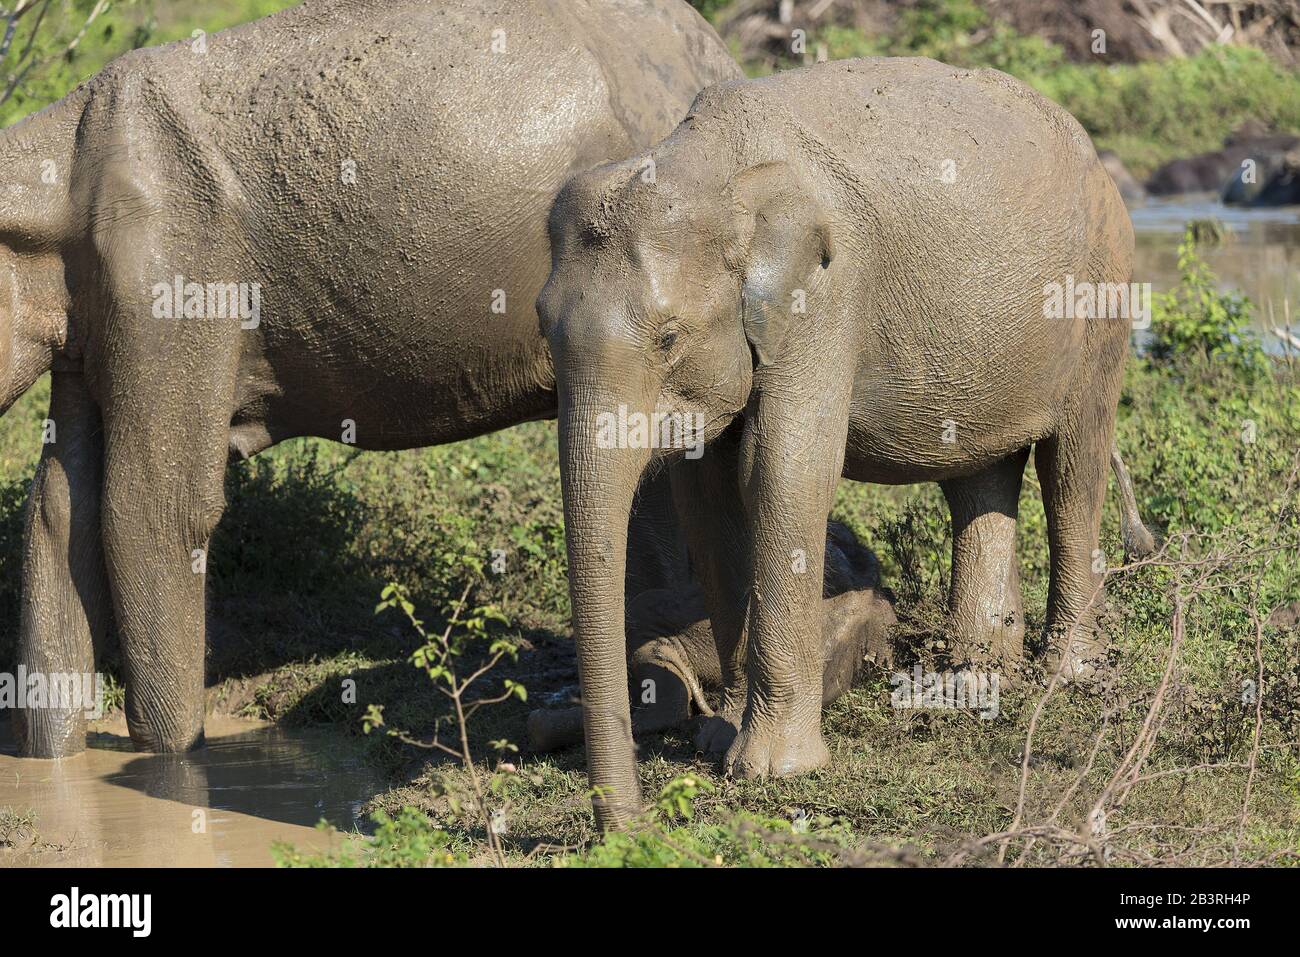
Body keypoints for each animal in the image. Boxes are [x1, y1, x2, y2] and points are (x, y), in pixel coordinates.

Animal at [2, 0, 754, 769]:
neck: (54, 152)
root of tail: (720, 55)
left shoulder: (174, 271)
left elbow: (151, 511)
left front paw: (168, 774)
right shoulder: (94, 316)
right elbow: (60, 508)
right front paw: (55, 770)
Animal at [538, 55, 1159, 826]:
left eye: (668, 338)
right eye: (542, 329)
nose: (625, 825)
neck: (712, 163)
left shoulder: (827, 296)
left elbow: (782, 469)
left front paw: (773, 770)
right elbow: (708, 494)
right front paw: (719, 738)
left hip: (1101, 295)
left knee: (1074, 463)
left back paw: (1061, 676)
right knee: (979, 475)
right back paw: (975, 678)